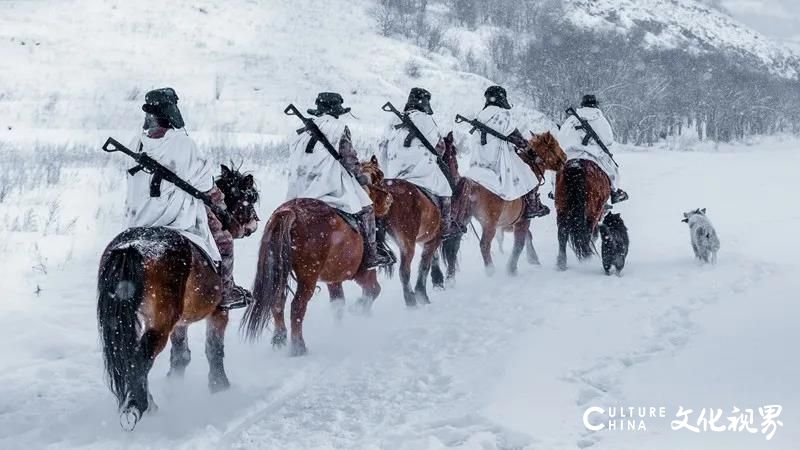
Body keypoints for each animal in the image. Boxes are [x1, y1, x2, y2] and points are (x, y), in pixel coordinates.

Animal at [96, 163, 260, 430]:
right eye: (248, 197)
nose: (255, 223)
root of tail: (130, 248)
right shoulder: (219, 312)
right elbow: (214, 349)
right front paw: (220, 387)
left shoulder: (180, 323)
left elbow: (181, 355)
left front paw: (175, 386)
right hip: (161, 323)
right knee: (140, 358)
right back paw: (140, 406)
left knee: (132, 355)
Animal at [244, 162, 394, 356]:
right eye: (379, 178)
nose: (390, 199)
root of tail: (290, 212)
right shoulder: (362, 273)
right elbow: (374, 290)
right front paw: (359, 309)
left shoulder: (334, 279)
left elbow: (338, 304)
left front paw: (339, 328)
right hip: (308, 277)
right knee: (297, 307)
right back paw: (299, 346)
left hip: (281, 271)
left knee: (277, 301)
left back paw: (279, 338)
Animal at [444, 130, 568, 278]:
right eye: (554, 145)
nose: (565, 157)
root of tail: (470, 183)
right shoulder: (523, 221)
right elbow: (519, 243)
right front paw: (512, 268)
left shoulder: (516, 221)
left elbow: (527, 236)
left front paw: (533, 259)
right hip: (489, 224)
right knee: (484, 245)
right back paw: (491, 272)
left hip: (463, 221)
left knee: (454, 246)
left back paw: (450, 278)